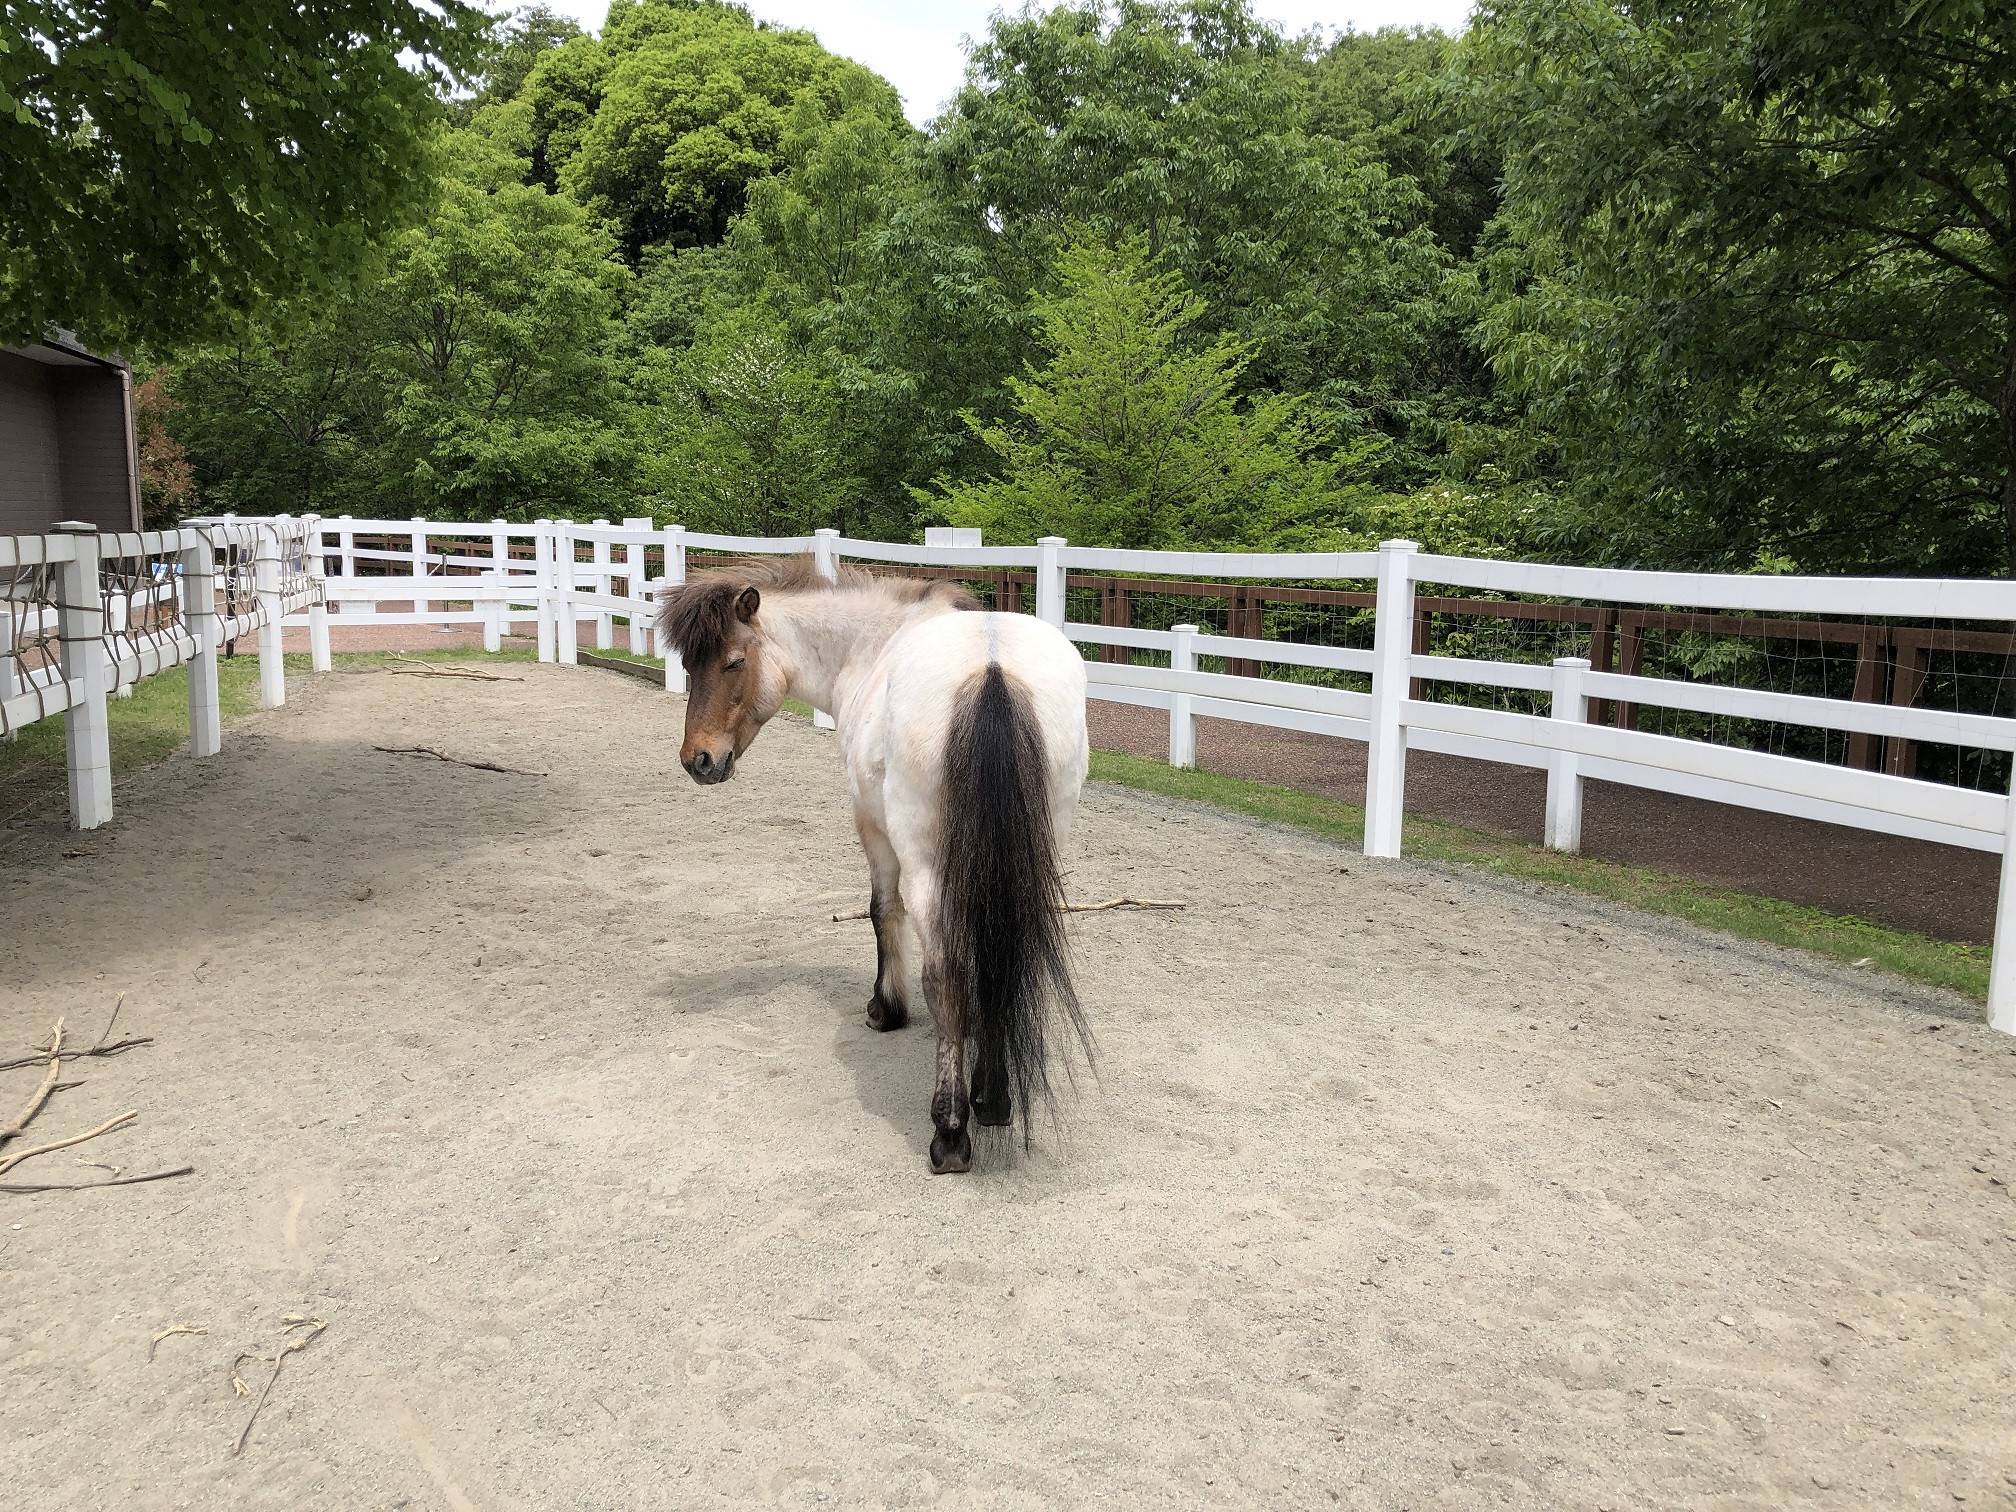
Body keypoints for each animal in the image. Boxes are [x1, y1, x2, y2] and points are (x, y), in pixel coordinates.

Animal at [656, 557, 1092, 1173]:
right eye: (691, 666)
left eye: (733, 661)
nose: (698, 759)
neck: (872, 648)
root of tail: (991, 671)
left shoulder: (872, 828)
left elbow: (882, 911)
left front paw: (886, 1008)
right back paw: (993, 1099)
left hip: (931, 866)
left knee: (948, 977)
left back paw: (950, 1131)